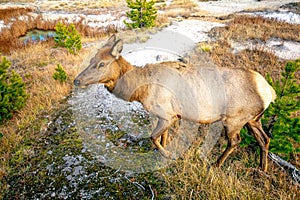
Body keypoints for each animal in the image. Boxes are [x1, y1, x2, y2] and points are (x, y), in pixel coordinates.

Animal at [74, 34, 276, 172]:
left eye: (101, 64)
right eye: (91, 60)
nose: (77, 80)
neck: (140, 91)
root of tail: (269, 92)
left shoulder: (167, 114)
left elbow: (153, 137)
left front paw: (169, 155)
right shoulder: (170, 116)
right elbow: (163, 137)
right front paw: (162, 155)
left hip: (234, 119)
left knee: (235, 141)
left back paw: (215, 164)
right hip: (253, 119)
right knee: (265, 139)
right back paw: (262, 168)